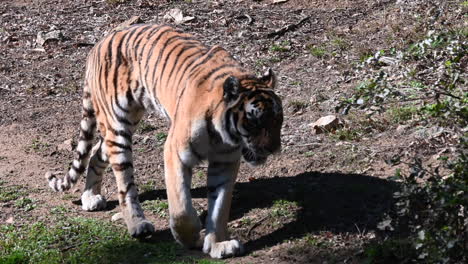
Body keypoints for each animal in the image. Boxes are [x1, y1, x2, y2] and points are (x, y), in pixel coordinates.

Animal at [47, 23, 284, 258]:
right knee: (125, 185)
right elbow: (181, 208)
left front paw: (219, 244)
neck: (223, 135)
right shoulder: (175, 153)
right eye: (255, 122)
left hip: (122, 125)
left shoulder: (225, 162)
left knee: (97, 151)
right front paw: (191, 238)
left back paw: (90, 197)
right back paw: (138, 225)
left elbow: (220, 205)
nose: (274, 149)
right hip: (118, 125)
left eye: (278, 120)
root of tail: (99, 44)